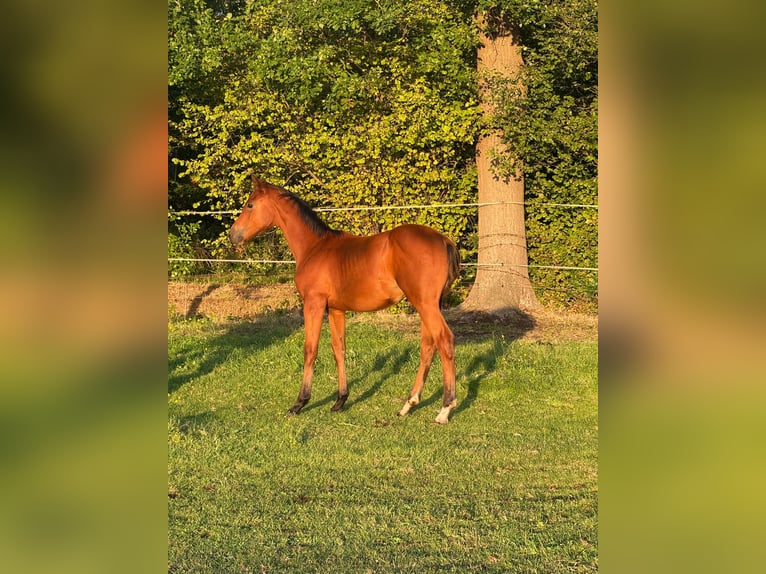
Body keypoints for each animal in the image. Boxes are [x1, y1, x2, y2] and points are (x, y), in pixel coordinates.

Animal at [229, 176, 461, 424]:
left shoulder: (313, 304)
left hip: (425, 304)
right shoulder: (335, 309)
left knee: (444, 341)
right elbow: (338, 349)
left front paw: (300, 403)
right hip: (429, 305)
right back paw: (408, 404)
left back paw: (445, 409)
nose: (233, 235)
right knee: (428, 346)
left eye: (250, 205)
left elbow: (310, 350)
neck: (314, 247)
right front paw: (340, 400)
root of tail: (444, 240)